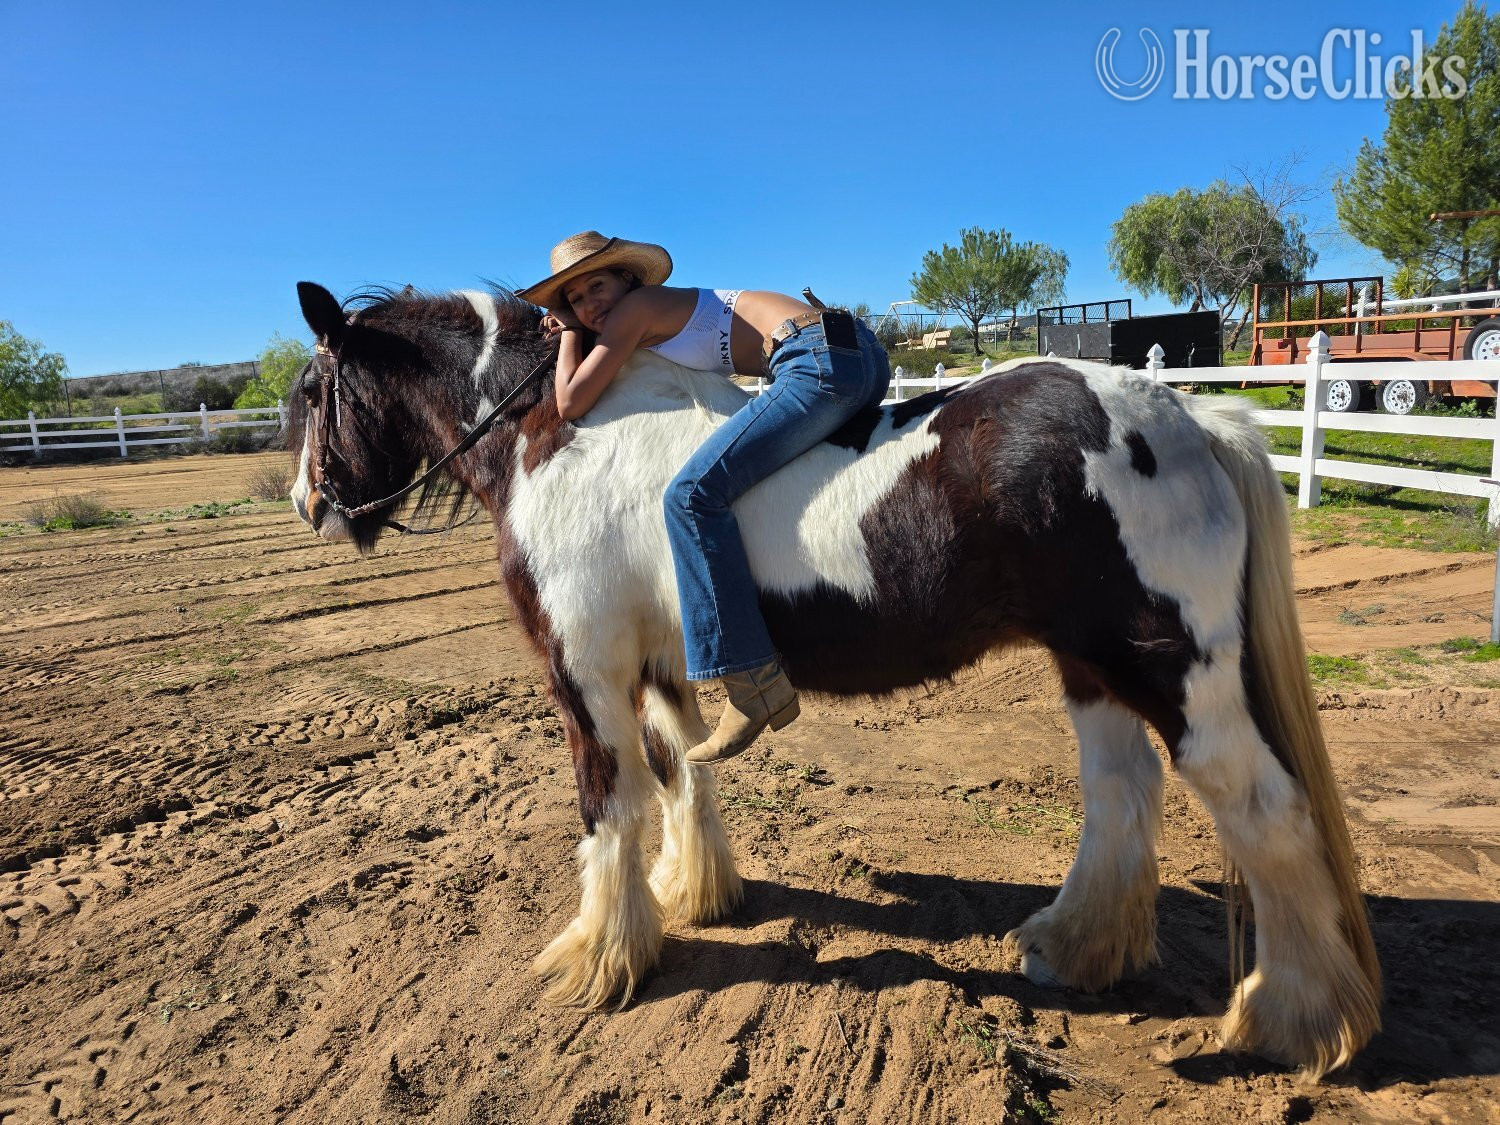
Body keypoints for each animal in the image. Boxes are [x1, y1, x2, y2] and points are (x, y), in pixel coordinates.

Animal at [286, 281, 1380, 1079]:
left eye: (310, 393)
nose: (309, 504)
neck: (556, 433)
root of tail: (1191, 416)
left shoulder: (585, 670)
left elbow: (610, 806)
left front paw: (598, 957)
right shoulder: (660, 664)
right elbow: (684, 772)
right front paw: (694, 892)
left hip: (1178, 673)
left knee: (1264, 812)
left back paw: (1290, 1018)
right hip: (1091, 665)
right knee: (1122, 796)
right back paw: (1075, 947)